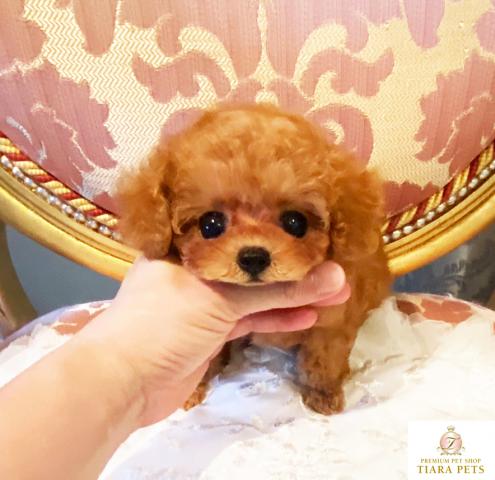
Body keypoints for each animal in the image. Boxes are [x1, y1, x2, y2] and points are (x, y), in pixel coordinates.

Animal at [117, 103, 392, 414]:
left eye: (295, 222)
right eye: (210, 224)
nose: (253, 257)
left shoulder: (332, 324)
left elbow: (323, 361)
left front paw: (323, 395)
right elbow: (204, 359)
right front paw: (193, 389)